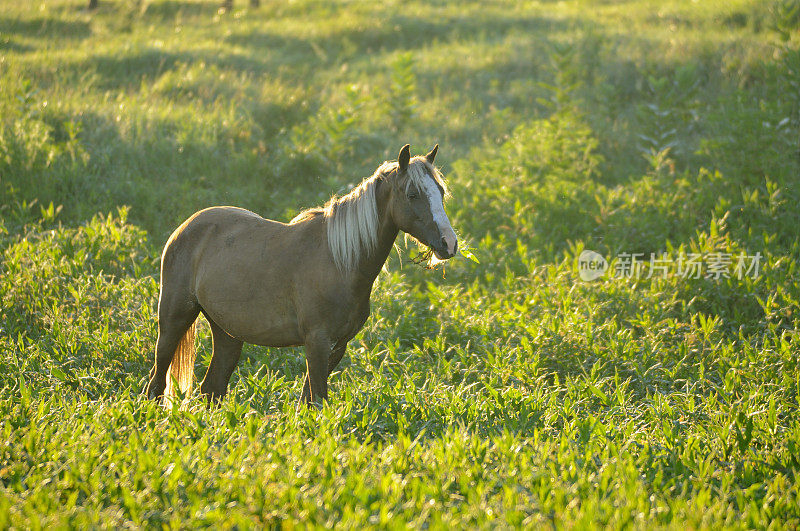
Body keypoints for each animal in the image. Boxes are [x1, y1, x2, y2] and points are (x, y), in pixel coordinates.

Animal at [144, 145, 456, 408]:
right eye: (413, 194)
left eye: (441, 193)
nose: (449, 244)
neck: (340, 261)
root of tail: (185, 227)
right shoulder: (317, 342)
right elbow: (317, 400)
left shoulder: (337, 346)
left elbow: (308, 401)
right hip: (174, 321)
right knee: (156, 384)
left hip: (227, 333)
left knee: (212, 389)